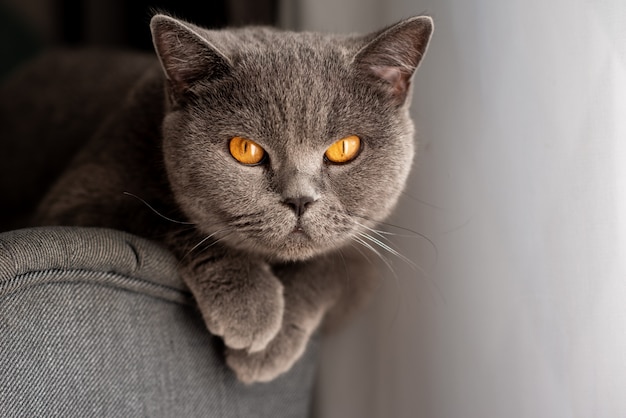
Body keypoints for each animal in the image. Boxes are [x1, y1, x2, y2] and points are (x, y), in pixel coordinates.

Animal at [4, 14, 432, 384]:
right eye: (245, 149)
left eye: (345, 148)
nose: (299, 200)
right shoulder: (75, 199)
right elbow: (173, 221)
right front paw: (252, 307)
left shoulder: (366, 255)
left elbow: (323, 265)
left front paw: (269, 346)